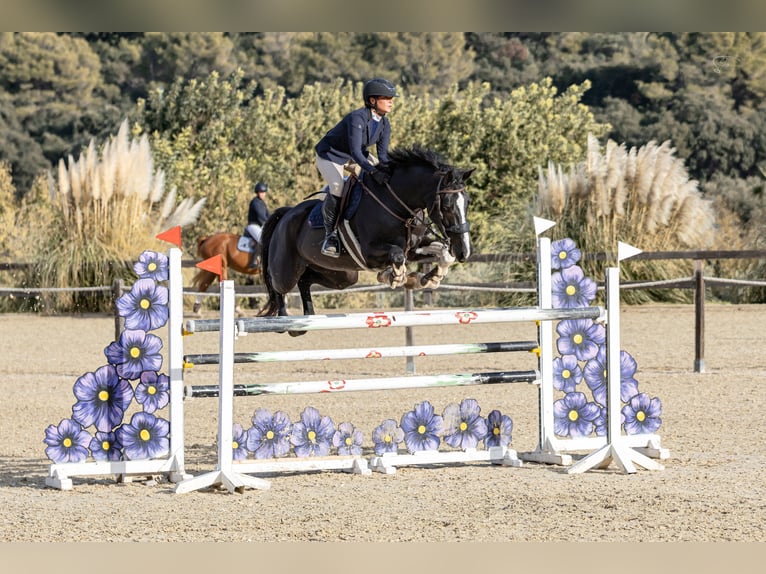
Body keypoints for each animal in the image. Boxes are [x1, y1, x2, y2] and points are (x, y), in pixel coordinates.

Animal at [257, 146, 474, 335]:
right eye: (446, 206)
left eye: (467, 202)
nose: (464, 252)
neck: (395, 203)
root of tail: (285, 215)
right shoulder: (369, 253)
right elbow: (397, 256)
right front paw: (395, 277)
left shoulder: (413, 249)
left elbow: (443, 255)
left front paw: (429, 278)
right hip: (286, 270)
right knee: (278, 286)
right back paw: (284, 322)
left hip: (342, 275)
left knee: (306, 280)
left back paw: (305, 319)